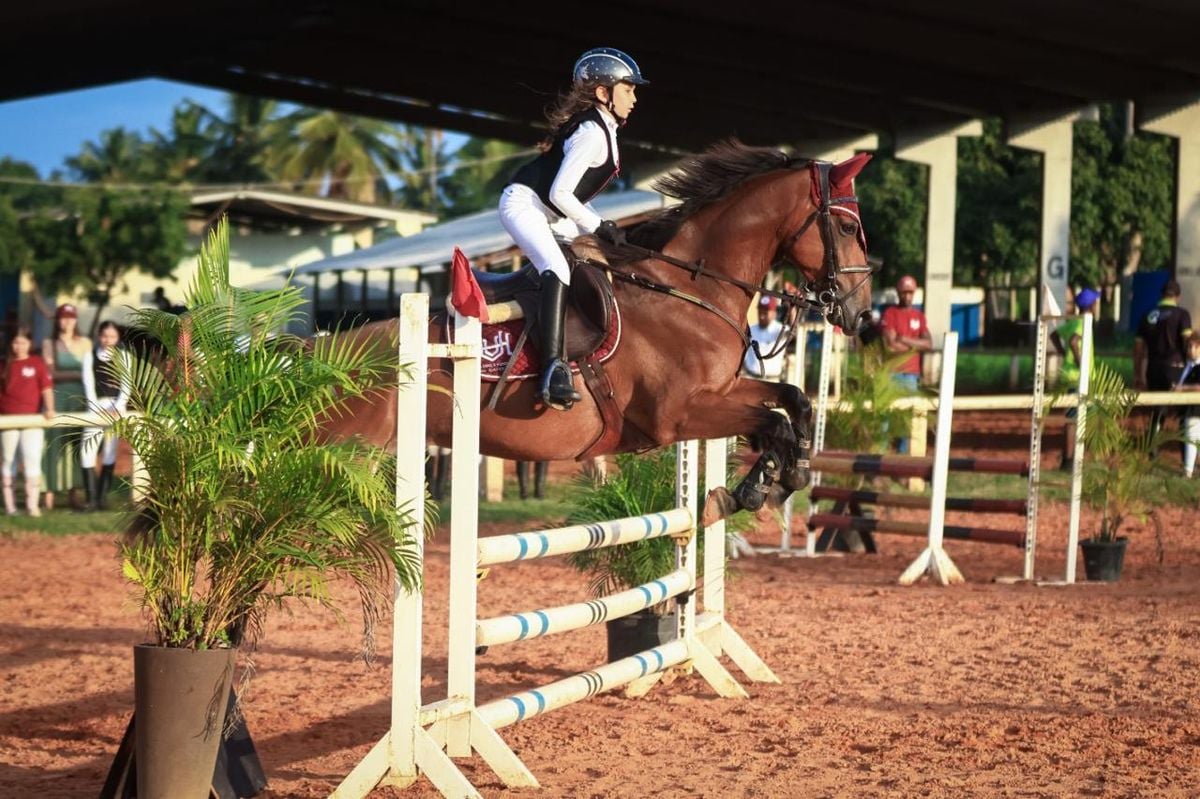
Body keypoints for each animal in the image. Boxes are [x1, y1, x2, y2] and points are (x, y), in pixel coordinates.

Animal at [328, 140, 873, 511]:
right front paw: (760, 484)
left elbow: (792, 401)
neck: (688, 290)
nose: (861, 314)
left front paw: (786, 474)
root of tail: (324, 355)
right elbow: (771, 420)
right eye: (848, 228)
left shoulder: (723, 391)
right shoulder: (677, 416)